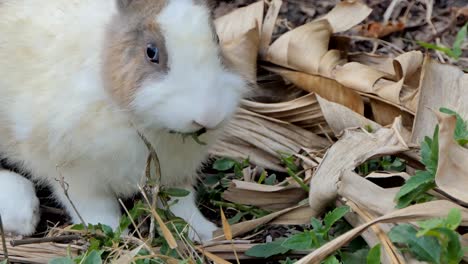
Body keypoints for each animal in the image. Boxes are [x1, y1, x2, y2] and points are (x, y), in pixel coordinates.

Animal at [0, 0, 247, 241]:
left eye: (216, 39)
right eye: (151, 52)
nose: (209, 116)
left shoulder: (174, 174)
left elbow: (181, 204)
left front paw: (205, 233)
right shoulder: (77, 173)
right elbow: (96, 207)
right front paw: (114, 234)